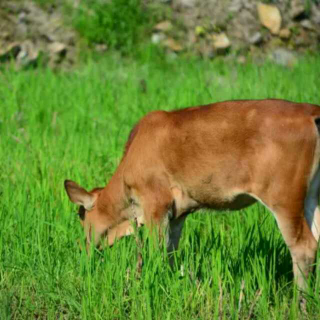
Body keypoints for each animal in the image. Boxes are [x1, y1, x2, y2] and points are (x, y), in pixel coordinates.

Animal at [65, 100, 320, 292]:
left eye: (81, 217)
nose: (85, 251)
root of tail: (311, 112)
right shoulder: (178, 214)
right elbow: (170, 252)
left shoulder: (156, 204)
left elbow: (157, 252)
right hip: (312, 198)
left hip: (284, 198)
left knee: (303, 247)